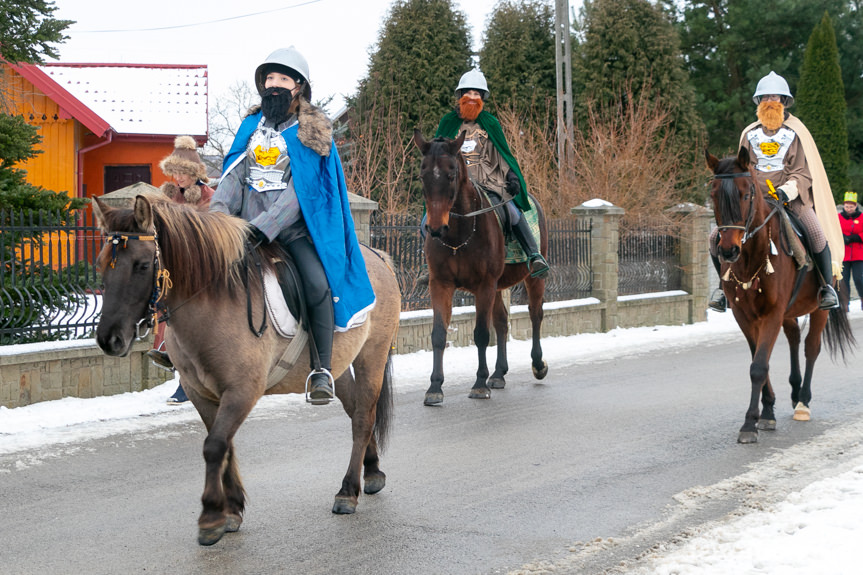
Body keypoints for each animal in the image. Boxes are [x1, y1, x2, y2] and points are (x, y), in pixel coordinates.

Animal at [93, 196, 404, 548]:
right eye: (101, 264)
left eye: (143, 265)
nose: (109, 339)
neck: (212, 302)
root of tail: (377, 255)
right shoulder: (200, 392)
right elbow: (224, 445)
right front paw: (231, 509)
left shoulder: (242, 392)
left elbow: (215, 446)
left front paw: (211, 517)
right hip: (337, 365)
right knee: (356, 411)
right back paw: (372, 471)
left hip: (372, 355)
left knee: (364, 417)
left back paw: (348, 490)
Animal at [416, 128, 552, 408]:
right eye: (423, 176)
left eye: (451, 174)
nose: (435, 228)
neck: (458, 234)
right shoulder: (441, 284)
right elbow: (438, 334)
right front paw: (434, 387)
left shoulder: (484, 285)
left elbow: (480, 333)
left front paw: (479, 384)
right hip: (498, 286)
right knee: (501, 322)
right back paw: (499, 373)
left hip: (533, 278)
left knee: (535, 315)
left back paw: (537, 364)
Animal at [704, 150, 852, 446]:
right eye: (713, 194)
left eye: (745, 194)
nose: (728, 250)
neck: (751, 258)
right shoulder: (745, 316)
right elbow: (759, 359)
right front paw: (767, 411)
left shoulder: (771, 313)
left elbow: (759, 366)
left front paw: (749, 424)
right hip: (788, 311)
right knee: (794, 338)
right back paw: (794, 392)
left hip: (818, 310)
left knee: (811, 347)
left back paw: (803, 402)